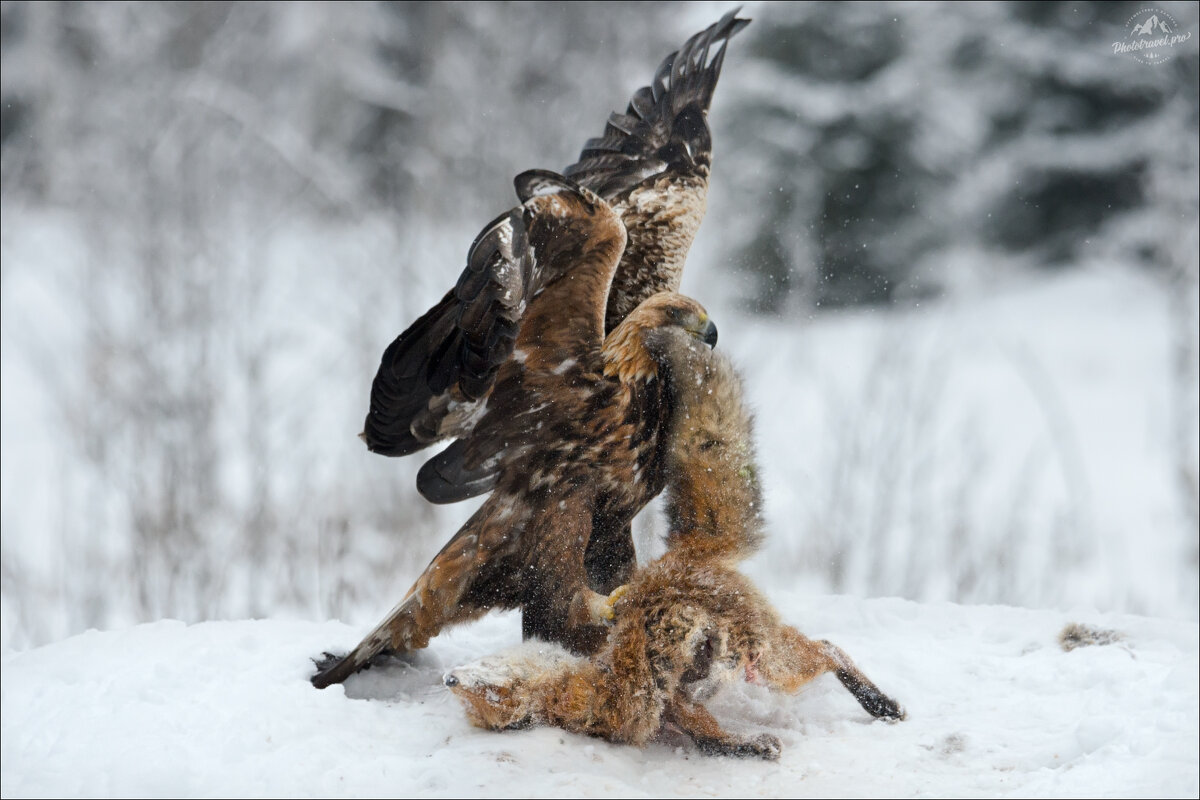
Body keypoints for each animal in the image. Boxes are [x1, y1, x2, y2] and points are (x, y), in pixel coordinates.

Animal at [441, 331, 902, 758]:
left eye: (480, 685)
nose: (448, 678)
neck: (571, 685)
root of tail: (679, 556)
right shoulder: (669, 701)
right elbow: (706, 732)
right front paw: (744, 744)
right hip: (763, 655)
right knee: (815, 650)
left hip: (775, 660)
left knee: (829, 649)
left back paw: (880, 703)